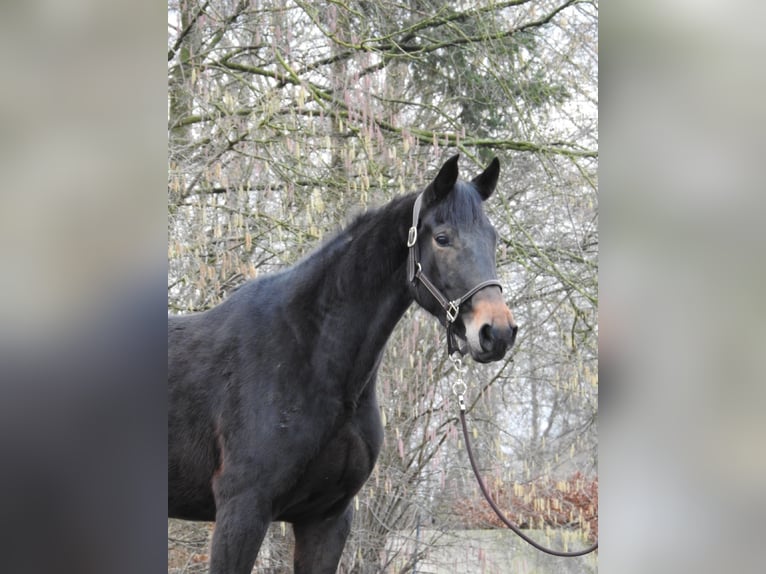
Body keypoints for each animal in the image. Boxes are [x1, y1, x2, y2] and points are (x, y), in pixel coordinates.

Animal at [166, 155, 520, 572]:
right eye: (443, 238)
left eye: (493, 239)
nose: (497, 331)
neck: (311, 356)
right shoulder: (242, 510)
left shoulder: (326, 518)